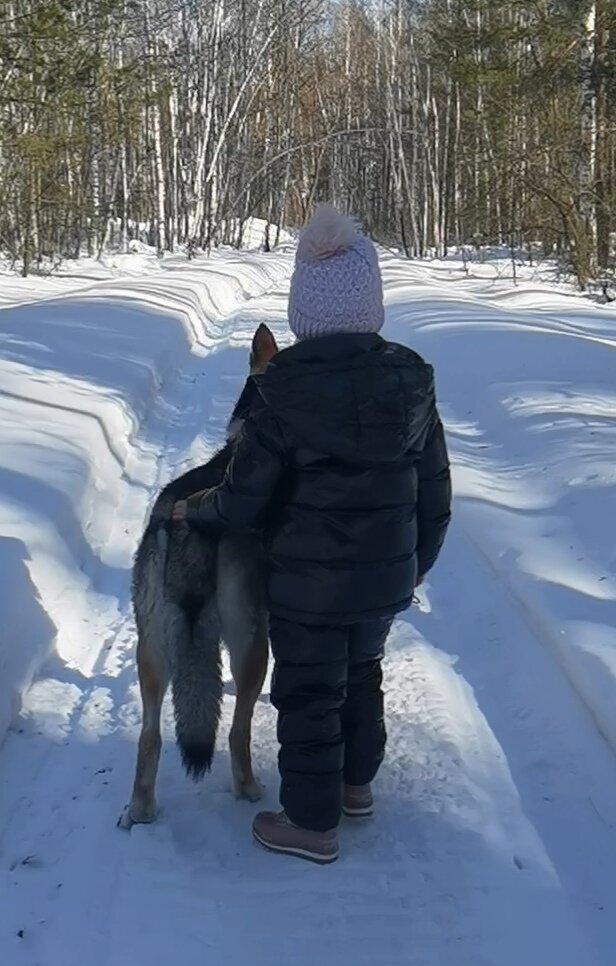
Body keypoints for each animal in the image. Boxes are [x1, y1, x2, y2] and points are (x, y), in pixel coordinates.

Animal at [120, 326, 280, 832]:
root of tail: (186, 527)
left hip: (151, 649)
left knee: (149, 737)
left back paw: (139, 810)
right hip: (251, 644)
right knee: (235, 731)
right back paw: (249, 790)